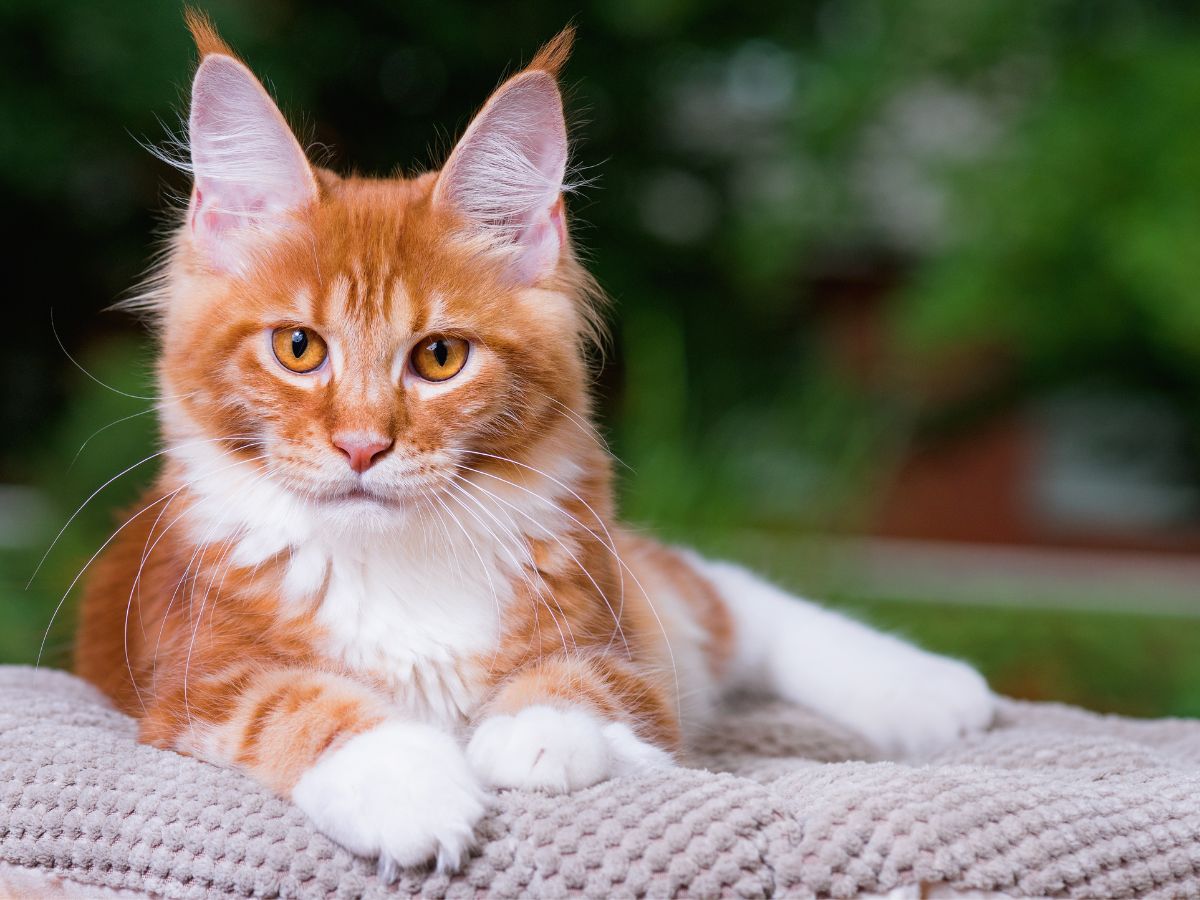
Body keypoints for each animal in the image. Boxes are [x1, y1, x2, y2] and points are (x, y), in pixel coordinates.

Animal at [75, 12, 993, 873]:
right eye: (298, 348)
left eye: (440, 358)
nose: (364, 447)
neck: (395, 566)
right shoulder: (191, 682)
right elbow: (297, 703)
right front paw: (408, 788)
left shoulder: (626, 660)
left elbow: (585, 686)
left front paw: (533, 733)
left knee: (730, 598)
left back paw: (940, 691)